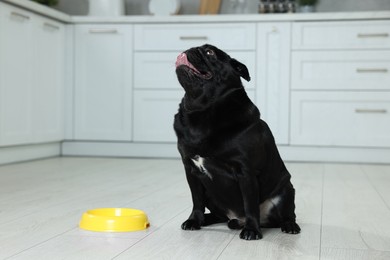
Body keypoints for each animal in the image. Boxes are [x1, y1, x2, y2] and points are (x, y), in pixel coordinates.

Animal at [174, 44, 302, 240]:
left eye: (210, 52)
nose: (190, 49)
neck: (202, 108)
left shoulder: (245, 172)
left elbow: (250, 205)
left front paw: (252, 230)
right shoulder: (191, 171)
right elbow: (196, 201)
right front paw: (194, 220)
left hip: (286, 190)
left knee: (287, 214)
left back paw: (289, 226)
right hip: (211, 193)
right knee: (217, 214)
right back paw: (207, 219)